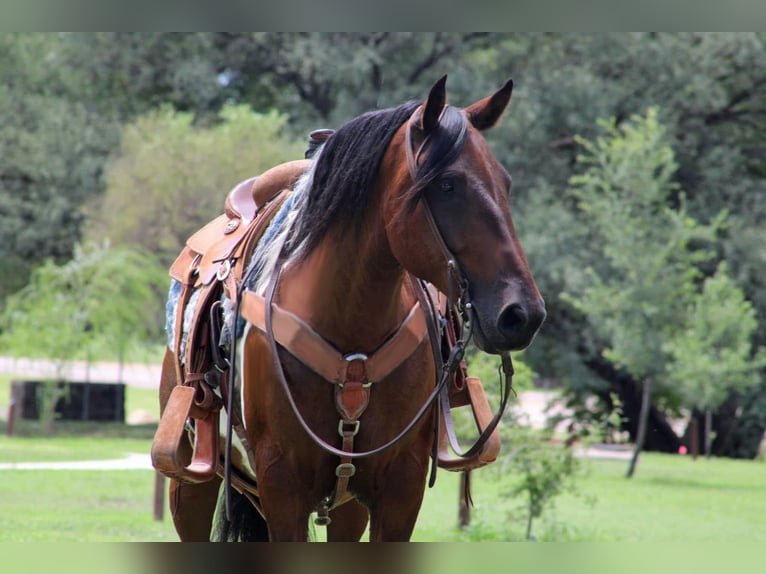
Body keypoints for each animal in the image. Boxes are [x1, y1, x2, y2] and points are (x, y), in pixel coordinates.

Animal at [157, 76, 546, 541]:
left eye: (504, 182)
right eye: (448, 184)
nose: (521, 313)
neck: (349, 332)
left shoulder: (400, 489)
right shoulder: (282, 485)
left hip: (347, 508)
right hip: (192, 487)